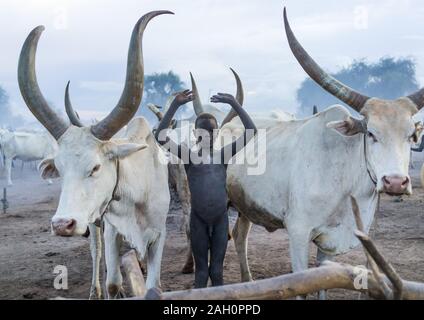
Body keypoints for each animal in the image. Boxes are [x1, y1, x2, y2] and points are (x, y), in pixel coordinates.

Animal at [17, 10, 174, 300]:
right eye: (60, 170)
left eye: (96, 167)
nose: (62, 224)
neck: (139, 189)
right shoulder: (111, 229)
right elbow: (112, 280)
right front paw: (110, 288)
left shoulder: (159, 232)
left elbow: (153, 285)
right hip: (94, 222)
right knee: (96, 252)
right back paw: (94, 289)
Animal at [224, 9, 422, 292]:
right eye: (371, 133)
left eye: (410, 136)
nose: (395, 182)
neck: (345, 182)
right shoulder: (297, 232)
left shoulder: (329, 242)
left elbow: (322, 282)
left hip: (245, 207)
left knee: (240, 235)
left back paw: (247, 280)